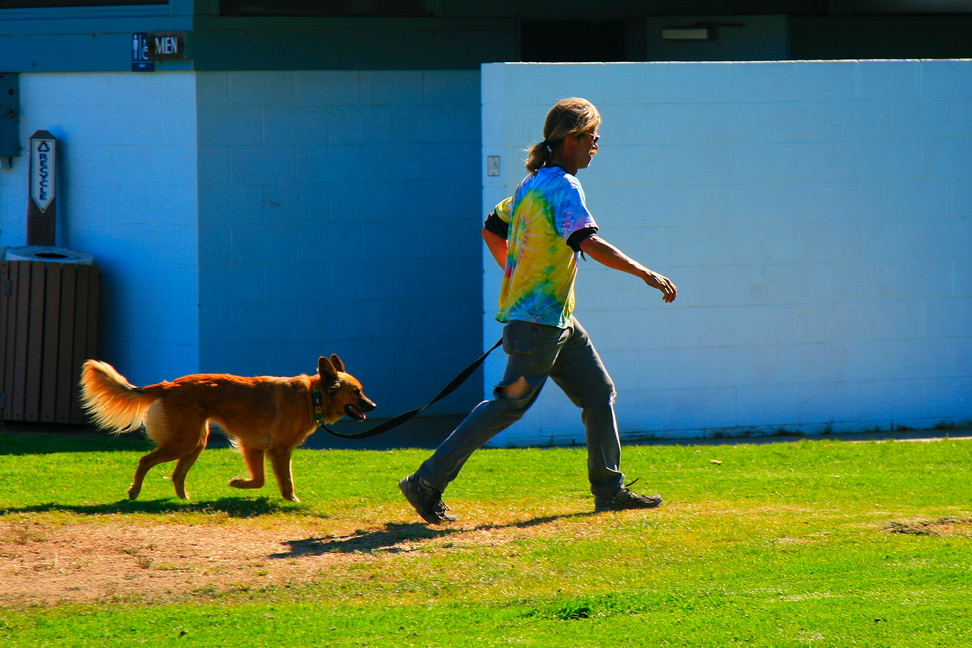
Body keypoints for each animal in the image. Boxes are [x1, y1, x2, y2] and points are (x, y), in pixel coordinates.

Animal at [79, 354, 376, 502]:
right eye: (357, 392)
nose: (372, 405)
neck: (312, 397)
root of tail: (168, 385)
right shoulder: (279, 450)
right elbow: (284, 480)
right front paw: (292, 500)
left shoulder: (254, 447)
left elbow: (260, 480)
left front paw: (239, 484)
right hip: (184, 442)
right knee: (145, 461)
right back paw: (134, 492)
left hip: (195, 442)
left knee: (176, 474)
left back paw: (184, 499)